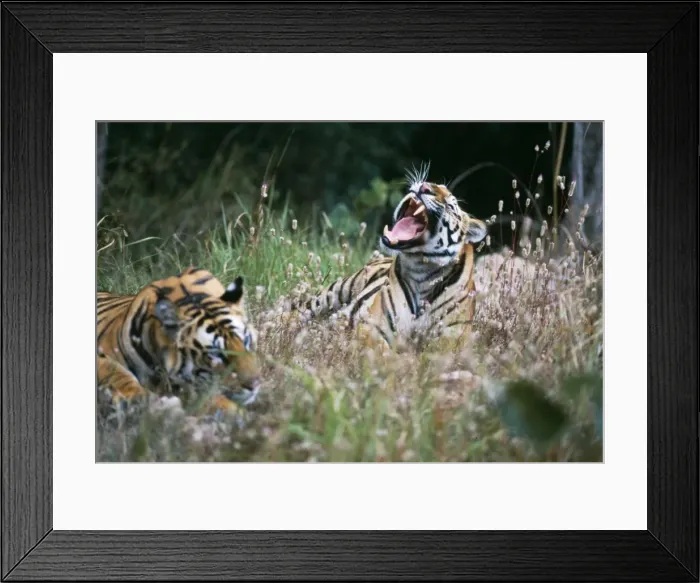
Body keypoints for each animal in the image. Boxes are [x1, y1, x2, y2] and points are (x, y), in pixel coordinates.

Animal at [285, 165, 489, 354]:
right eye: (433, 184)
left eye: (449, 204)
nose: (424, 187)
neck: (421, 271)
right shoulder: (374, 327)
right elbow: (385, 355)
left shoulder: (449, 342)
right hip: (336, 291)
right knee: (299, 310)